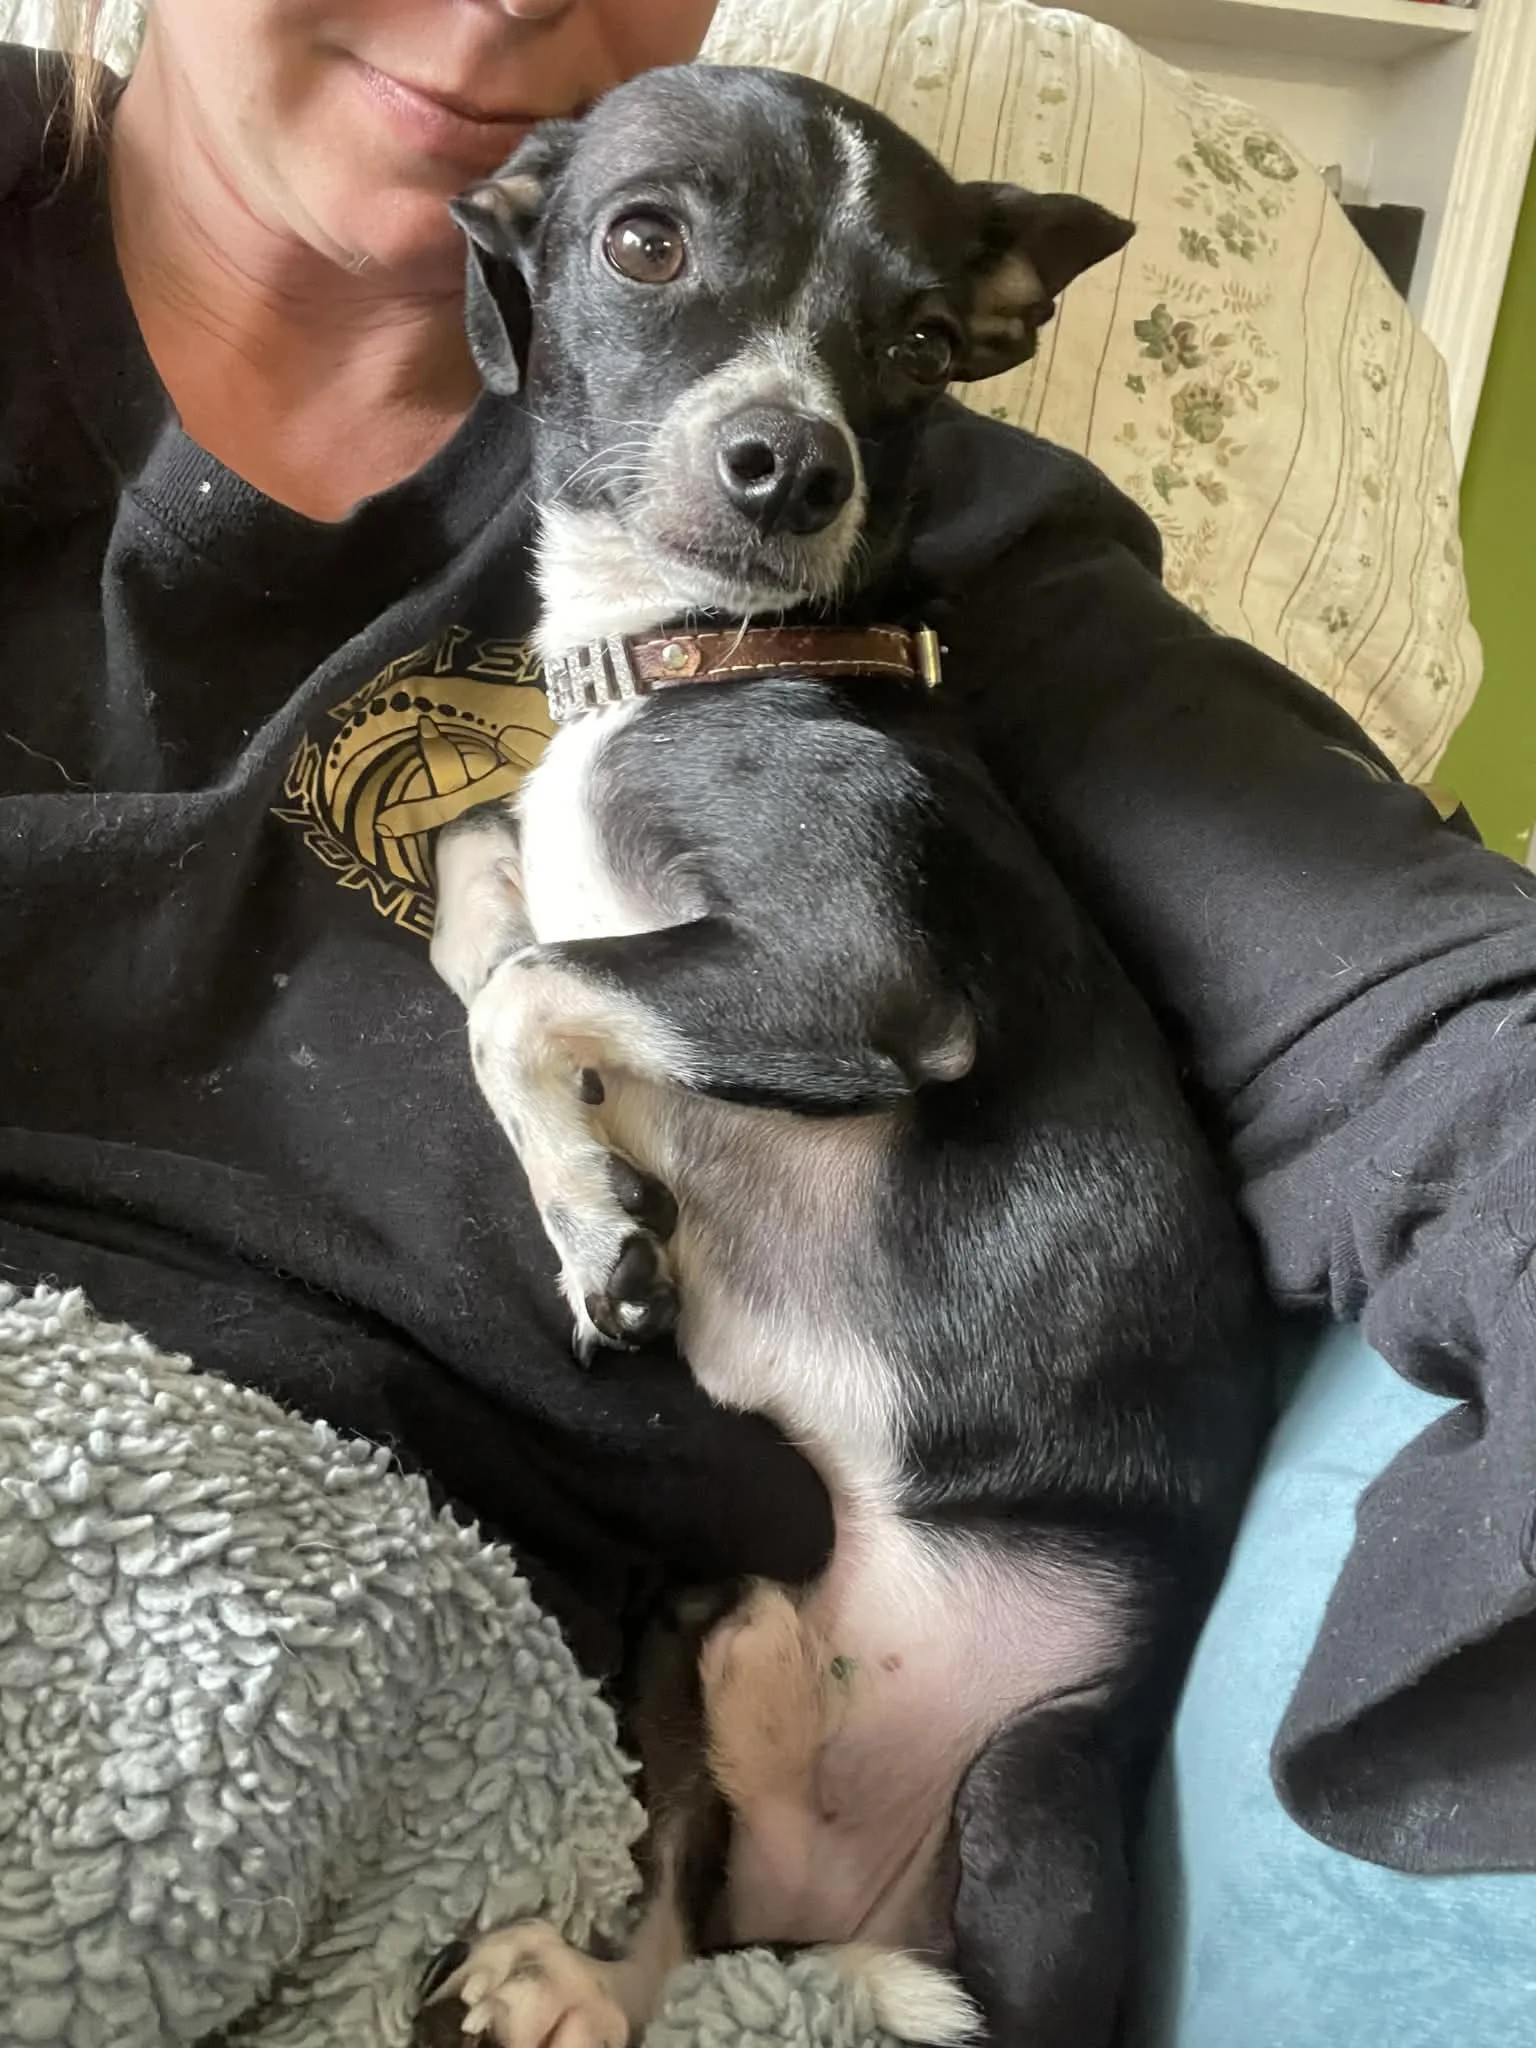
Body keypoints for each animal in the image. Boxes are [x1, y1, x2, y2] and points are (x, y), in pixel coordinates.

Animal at [423, 64, 1270, 2048]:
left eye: (925, 341)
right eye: (643, 240)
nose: (792, 468)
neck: (681, 658)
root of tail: (835, 1900)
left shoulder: (861, 975)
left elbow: (527, 983)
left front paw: (595, 1212)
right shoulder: (597, 904)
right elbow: (486, 902)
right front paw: (597, 1207)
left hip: (1039, 1787)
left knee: (986, 2006)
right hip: (678, 1661)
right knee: (682, 1892)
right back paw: (616, 1931)